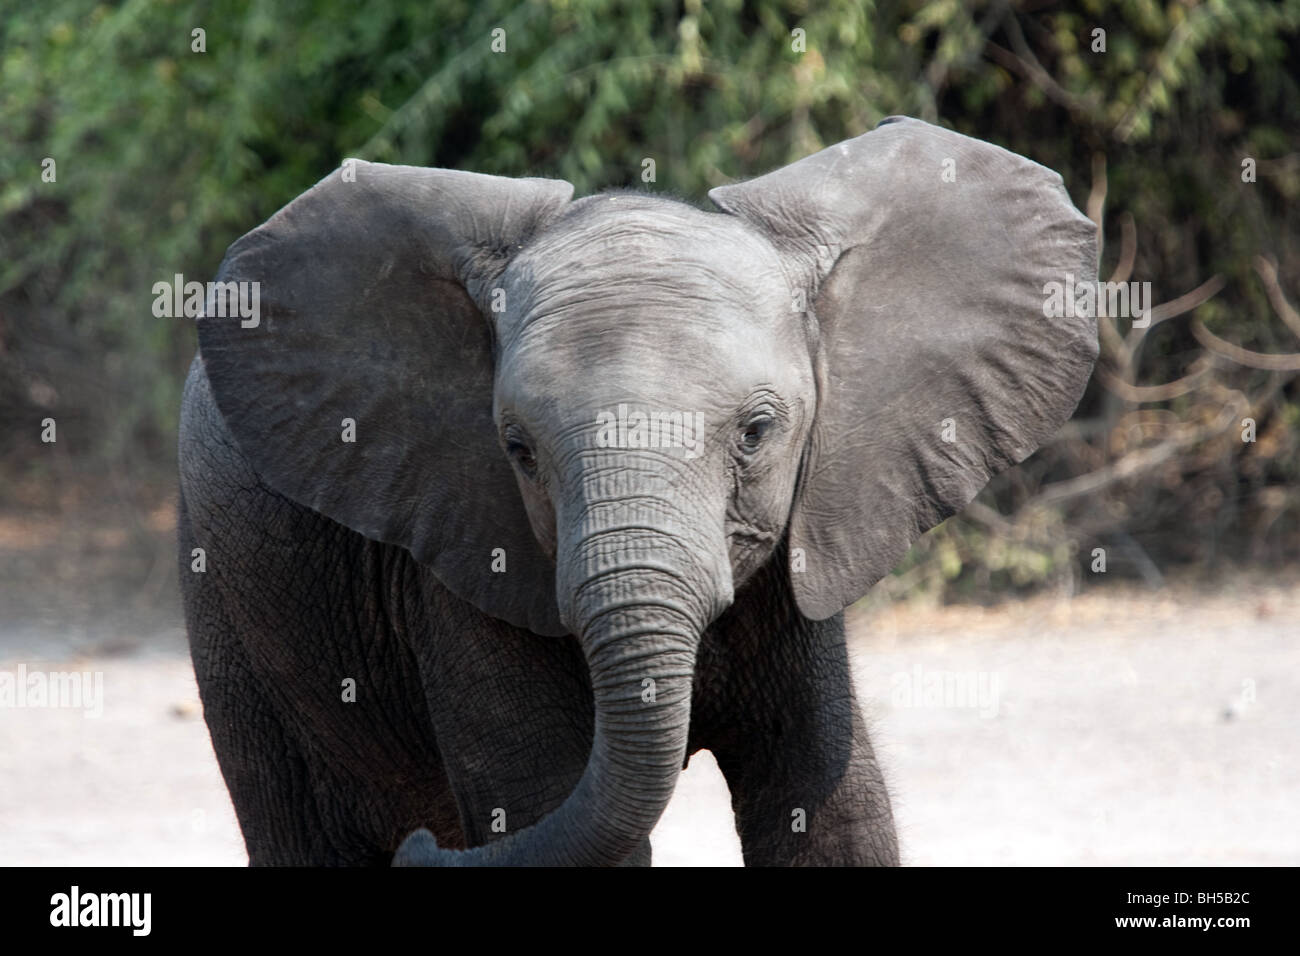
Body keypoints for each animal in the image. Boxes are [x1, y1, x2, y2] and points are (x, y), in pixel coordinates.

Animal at [178, 117, 1097, 868]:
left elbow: (831, 812)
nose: (421, 851)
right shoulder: (462, 559)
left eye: (756, 432)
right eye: (517, 450)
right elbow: (553, 815)